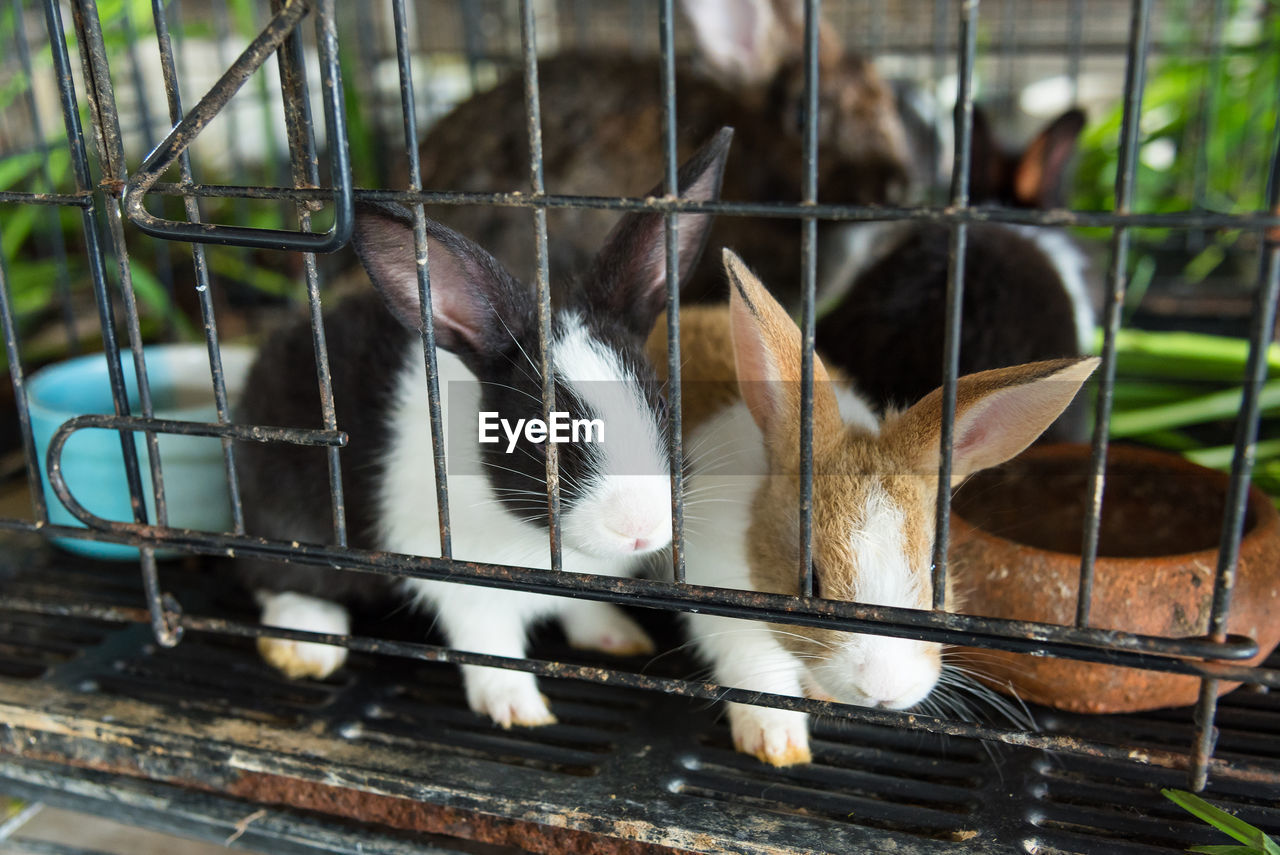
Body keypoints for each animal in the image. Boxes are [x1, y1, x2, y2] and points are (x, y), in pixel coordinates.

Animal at [231, 131, 732, 727]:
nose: (641, 527)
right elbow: (489, 646)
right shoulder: (463, 586)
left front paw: (614, 636)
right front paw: (519, 709)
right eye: (539, 432)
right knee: (278, 579)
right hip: (286, 515)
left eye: (661, 405)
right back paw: (306, 644)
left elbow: (580, 612)